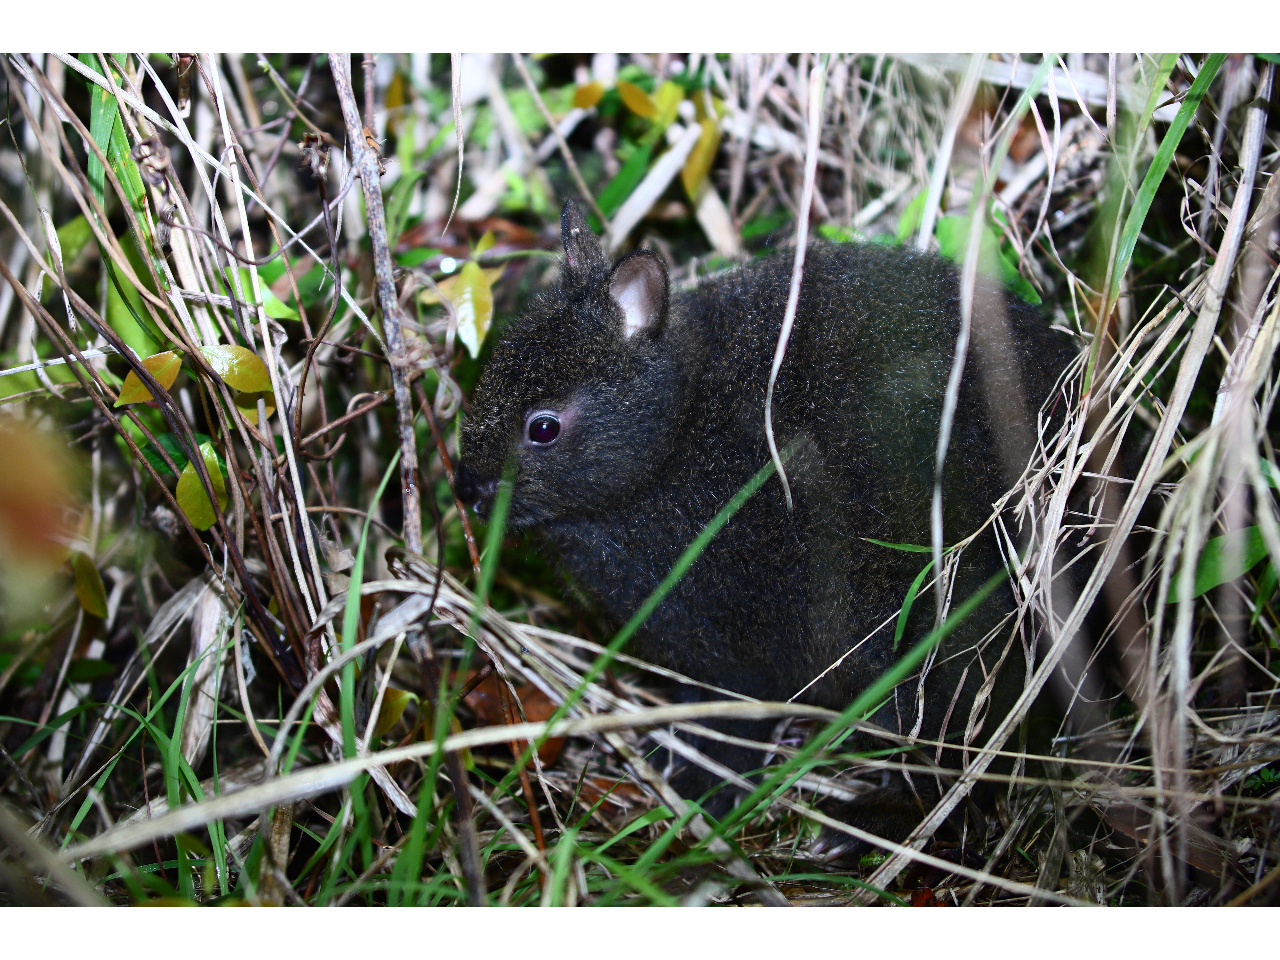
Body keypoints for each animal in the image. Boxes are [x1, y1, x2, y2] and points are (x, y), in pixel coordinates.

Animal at [455, 203, 1075, 849]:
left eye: (543, 427)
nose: (464, 487)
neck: (677, 435)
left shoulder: (732, 654)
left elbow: (734, 724)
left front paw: (705, 786)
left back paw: (864, 827)